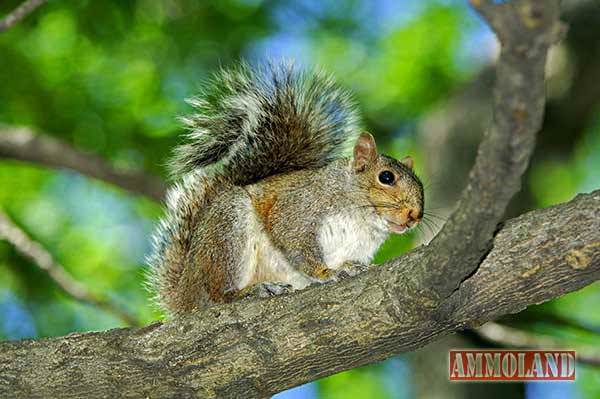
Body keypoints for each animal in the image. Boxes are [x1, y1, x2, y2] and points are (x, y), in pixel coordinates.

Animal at [147, 62, 424, 314]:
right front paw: (327, 271)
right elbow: (293, 239)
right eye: (386, 177)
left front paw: (350, 267)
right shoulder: (300, 206)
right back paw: (248, 291)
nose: (415, 215)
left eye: (421, 184)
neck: (364, 218)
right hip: (226, 232)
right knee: (218, 294)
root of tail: (184, 295)